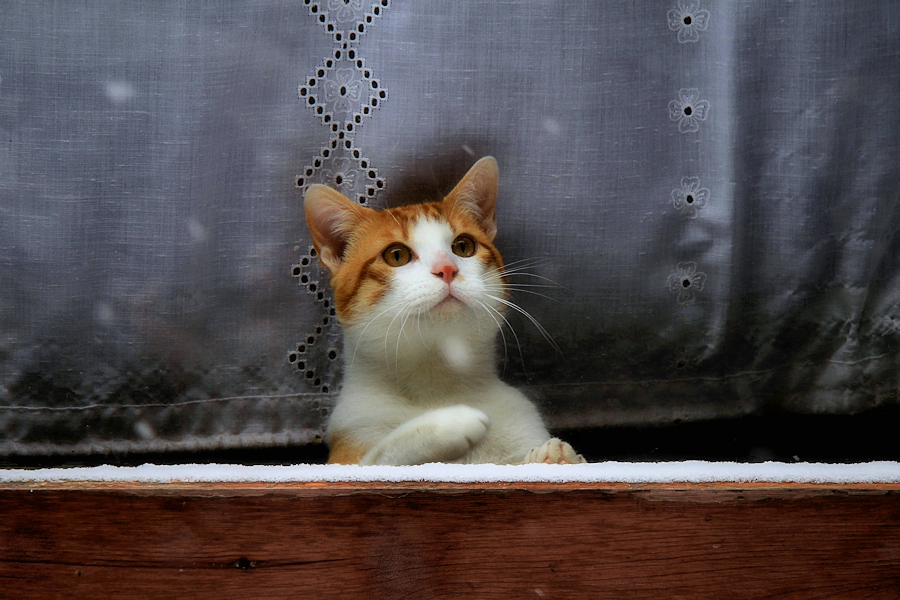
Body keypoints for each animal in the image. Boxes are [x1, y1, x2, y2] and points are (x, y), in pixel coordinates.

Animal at [304, 157, 584, 466]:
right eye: (396, 255)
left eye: (463, 246)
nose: (447, 269)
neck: (436, 383)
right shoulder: (349, 446)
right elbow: (382, 454)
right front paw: (446, 423)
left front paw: (555, 457)